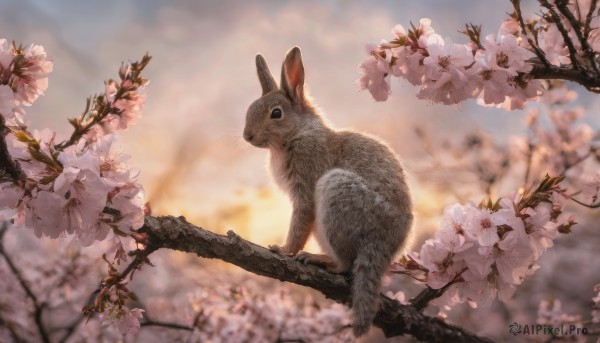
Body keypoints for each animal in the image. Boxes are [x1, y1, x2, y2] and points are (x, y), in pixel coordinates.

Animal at [244, 46, 412, 338]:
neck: (297, 133)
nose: (247, 135)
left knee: (345, 265)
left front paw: (283, 249)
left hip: (337, 194)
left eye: (276, 113)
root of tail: (381, 243)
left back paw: (319, 259)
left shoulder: (306, 185)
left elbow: (300, 223)